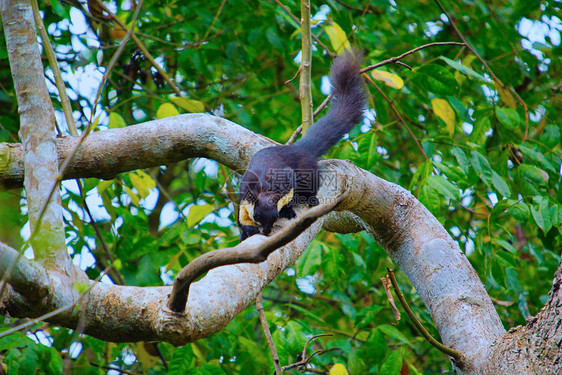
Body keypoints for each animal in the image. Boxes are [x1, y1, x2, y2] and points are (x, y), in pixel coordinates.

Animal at [235, 50, 364, 241]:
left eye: (274, 216)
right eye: (257, 216)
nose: (266, 231)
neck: (263, 187)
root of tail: (299, 148)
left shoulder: (288, 180)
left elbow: (289, 195)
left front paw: (287, 211)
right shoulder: (244, 195)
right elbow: (242, 220)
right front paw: (247, 232)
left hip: (308, 172)